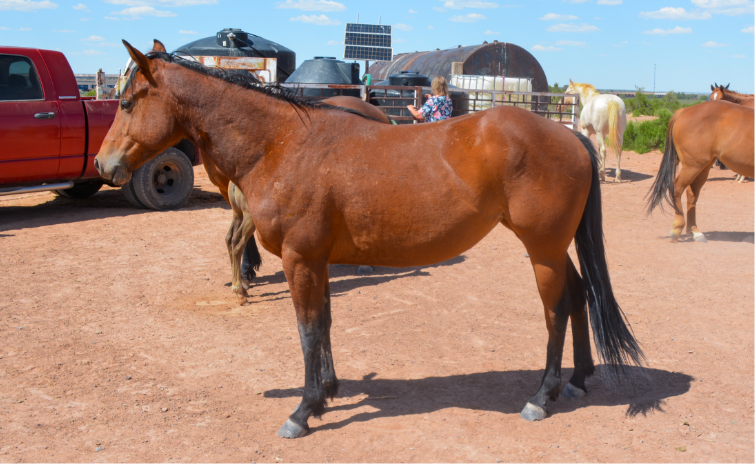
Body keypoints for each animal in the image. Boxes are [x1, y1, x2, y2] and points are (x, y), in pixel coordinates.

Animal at [95, 40, 643, 438]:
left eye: (125, 101)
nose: (103, 164)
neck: (280, 144)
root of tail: (570, 135)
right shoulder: (316, 260)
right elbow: (324, 325)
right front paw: (328, 392)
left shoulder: (300, 260)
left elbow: (308, 330)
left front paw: (303, 410)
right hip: (554, 247)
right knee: (580, 295)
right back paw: (577, 380)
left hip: (542, 250)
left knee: (557, 309)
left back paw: (541, 396)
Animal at [647, 99, 755, 241]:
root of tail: (684, 111)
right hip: (693, 166)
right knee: (677, 188)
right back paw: (677, 229)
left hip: (703, 167)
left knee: (691, 194)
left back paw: (696, 232)